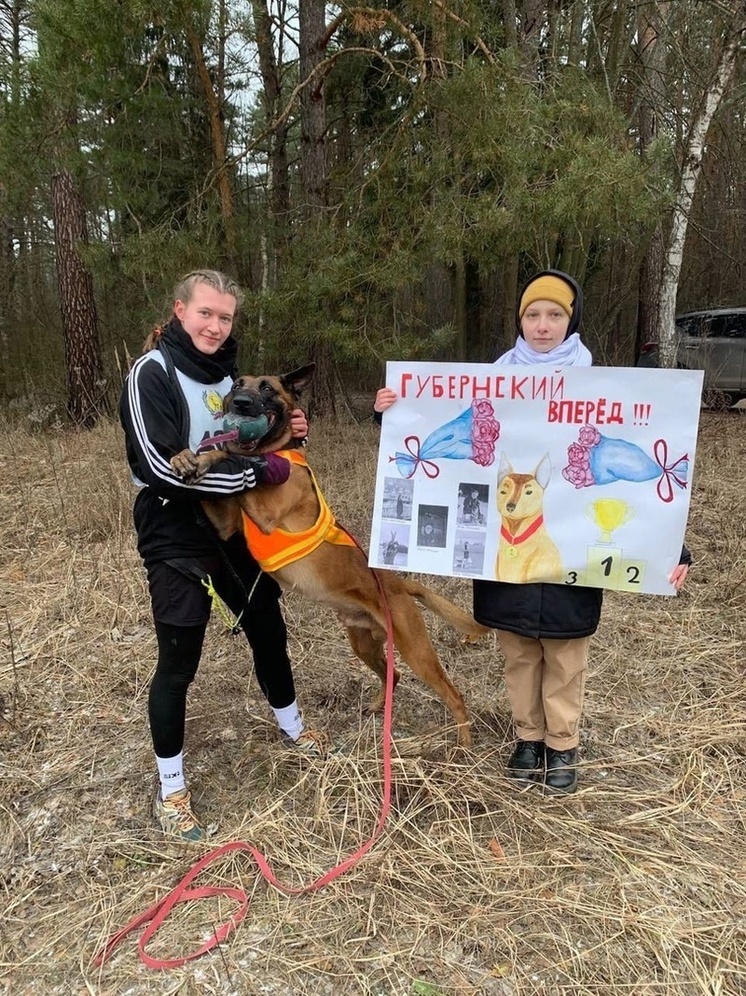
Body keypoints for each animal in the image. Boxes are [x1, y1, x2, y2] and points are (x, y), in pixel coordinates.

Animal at [169, 362, 486, 744]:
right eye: (237, 386)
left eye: (267, 388)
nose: (241, 402)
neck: (278, 451)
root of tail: (400, 584)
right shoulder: (226, 524)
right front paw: (187, 457)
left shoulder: (265, 513)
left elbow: (235, 454)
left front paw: (213, 454)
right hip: (363, 644)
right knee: (392, 675)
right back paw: (378, 707)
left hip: (416, 652)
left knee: (453, 694)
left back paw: (464, 743)